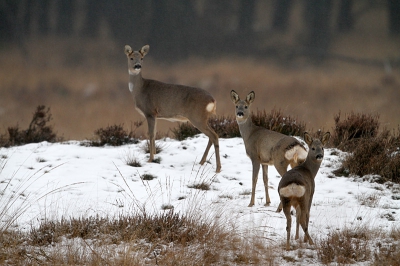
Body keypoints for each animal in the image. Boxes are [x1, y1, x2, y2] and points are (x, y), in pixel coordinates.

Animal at [124, 44, 222, 172]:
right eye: (131, 58)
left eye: (142, 58)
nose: (137, 66)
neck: (140, 90)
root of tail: (212, 100)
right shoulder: (155, 115)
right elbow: (154, 133)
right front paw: (154, 155)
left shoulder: (149, 111)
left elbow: (150, 134)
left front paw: (150, 159)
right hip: (203, 118)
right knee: (212, 136)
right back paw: (201, 162)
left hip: (197, 117)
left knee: (214, 136)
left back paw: (218, 168)